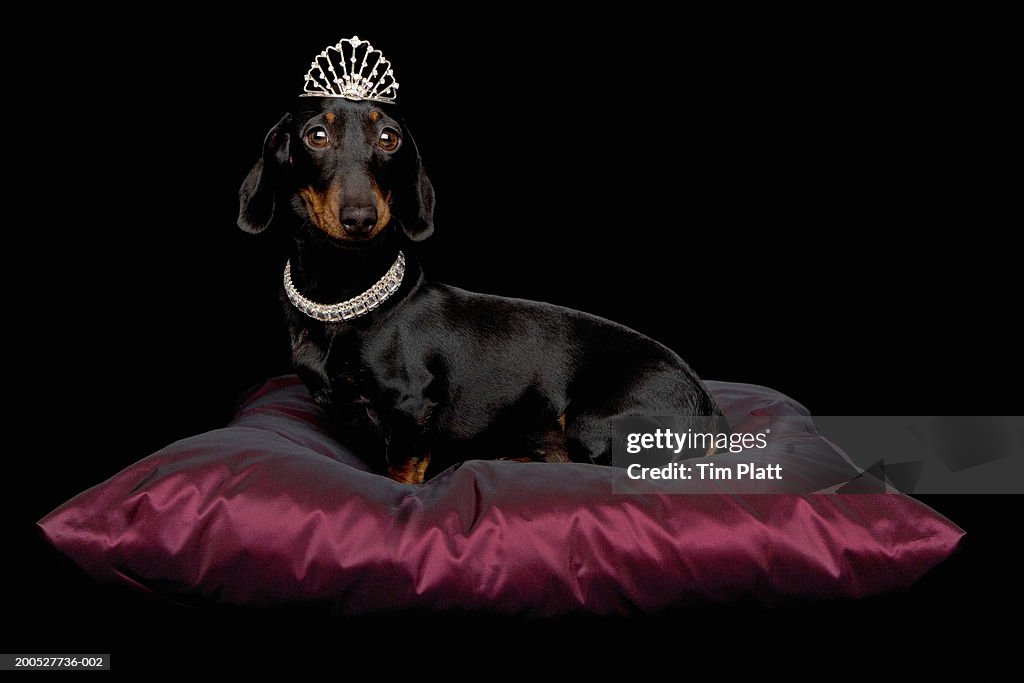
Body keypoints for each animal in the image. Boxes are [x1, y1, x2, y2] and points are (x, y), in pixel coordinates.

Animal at [237, 96, 720, 483]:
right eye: (316, 135)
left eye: (389, 138)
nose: (361, 218)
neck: (347, 297)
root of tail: (711, 410)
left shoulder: (412, 407)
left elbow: (401, 468)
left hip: (596, 423)